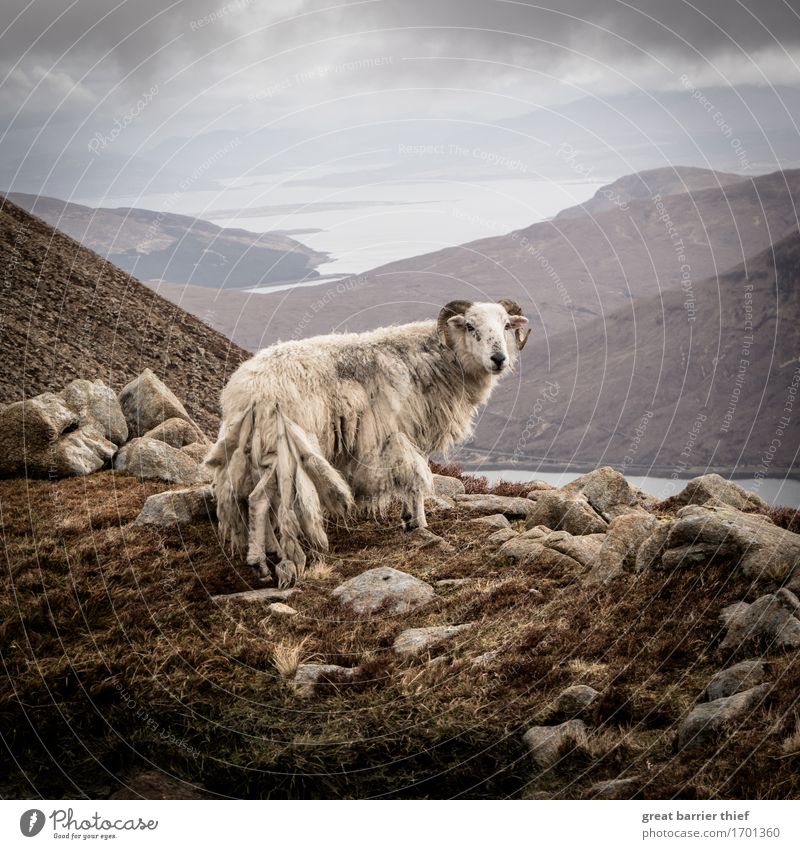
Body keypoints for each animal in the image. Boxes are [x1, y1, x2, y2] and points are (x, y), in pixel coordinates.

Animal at [206, 300, 532, 588]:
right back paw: (259, 564)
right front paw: (421, 524)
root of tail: (247, 391)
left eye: (506, 325)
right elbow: (415, 478)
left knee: (252, 497)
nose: (499, 359)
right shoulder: (401, 433)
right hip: (284, 443)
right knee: (259, 499)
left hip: (256, 448)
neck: (438, 358)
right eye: (470, 326)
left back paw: (269, 551)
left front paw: (408, 519)